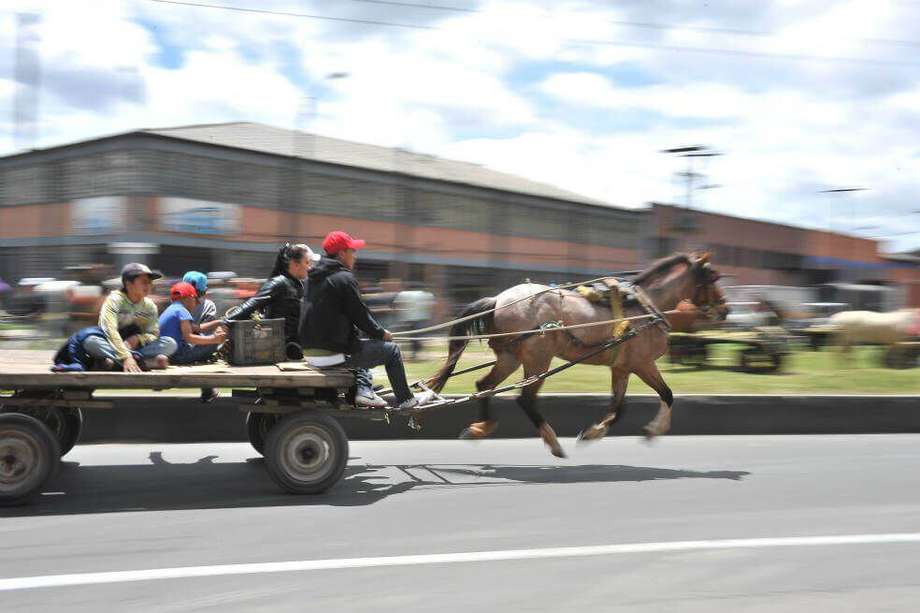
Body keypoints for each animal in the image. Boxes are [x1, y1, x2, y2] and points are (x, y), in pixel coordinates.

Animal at [428, 251, 728, 456]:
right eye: (714, 277)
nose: (725, 310)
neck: (644, 307)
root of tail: (498, 300)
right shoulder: (643, 364)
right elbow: (667, 394)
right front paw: (654, 430)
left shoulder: (621, 367)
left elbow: (618, 406)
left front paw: (594, 432)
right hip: (539, 359)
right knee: (525, 399)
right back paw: (552, 441)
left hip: (510, 358)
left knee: (484, 386)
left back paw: (481, 427)